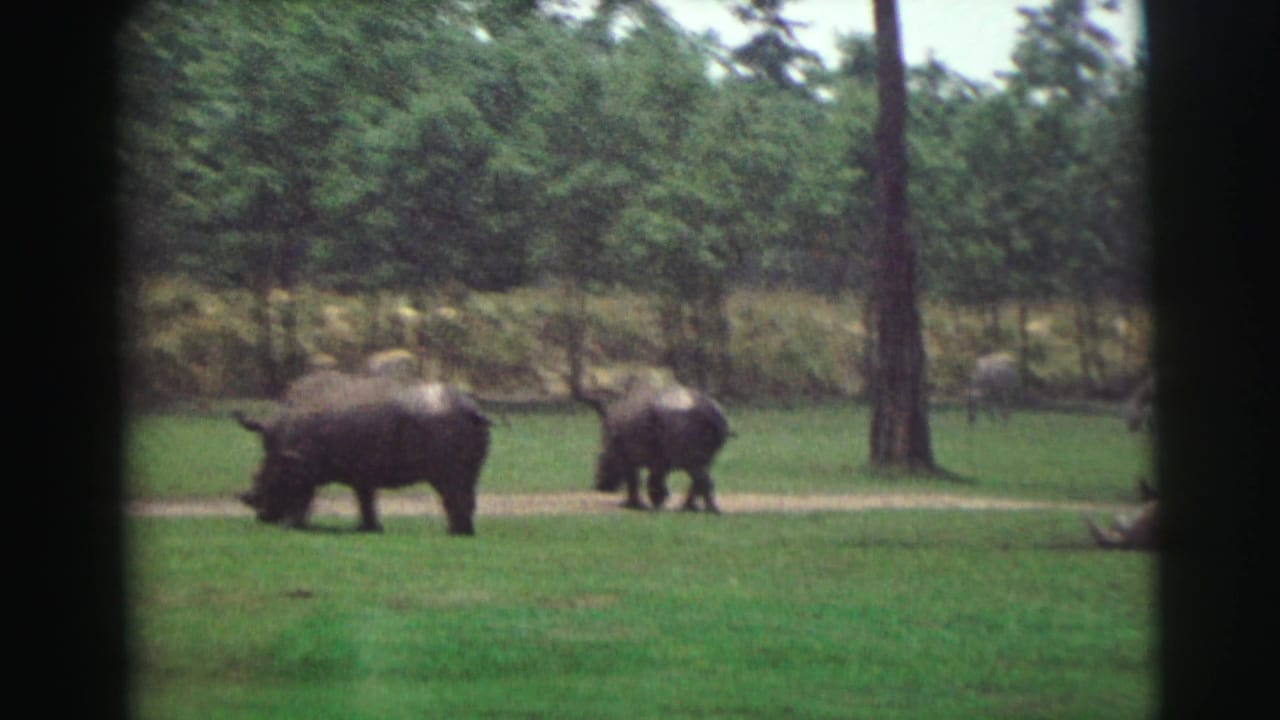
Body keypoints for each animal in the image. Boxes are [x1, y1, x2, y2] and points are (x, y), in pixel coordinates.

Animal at [234, 370, 491, 535]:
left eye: (262, 477)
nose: (262, 517)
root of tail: (473, 410)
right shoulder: (361, 469)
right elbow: (364, 497)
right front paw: (369, 529)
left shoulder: (301, 463)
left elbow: (303, 496)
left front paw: (291, 526)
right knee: (465, 482)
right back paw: (461, 532)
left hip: (443, 432)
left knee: (450, 483)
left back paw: (454, 533)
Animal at [574, 382, 730, 513]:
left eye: (601, 456)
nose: (600, 486)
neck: (610, 440)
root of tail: (710, 411)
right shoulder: (659, 456)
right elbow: (655, 477)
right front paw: (658, 501)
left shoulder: (625, 455)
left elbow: (633, 479)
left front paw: (633, 505)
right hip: (710, 429)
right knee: (701, 469)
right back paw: (691, 508)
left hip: (682, 427)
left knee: (697, 471)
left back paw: (707, 510)